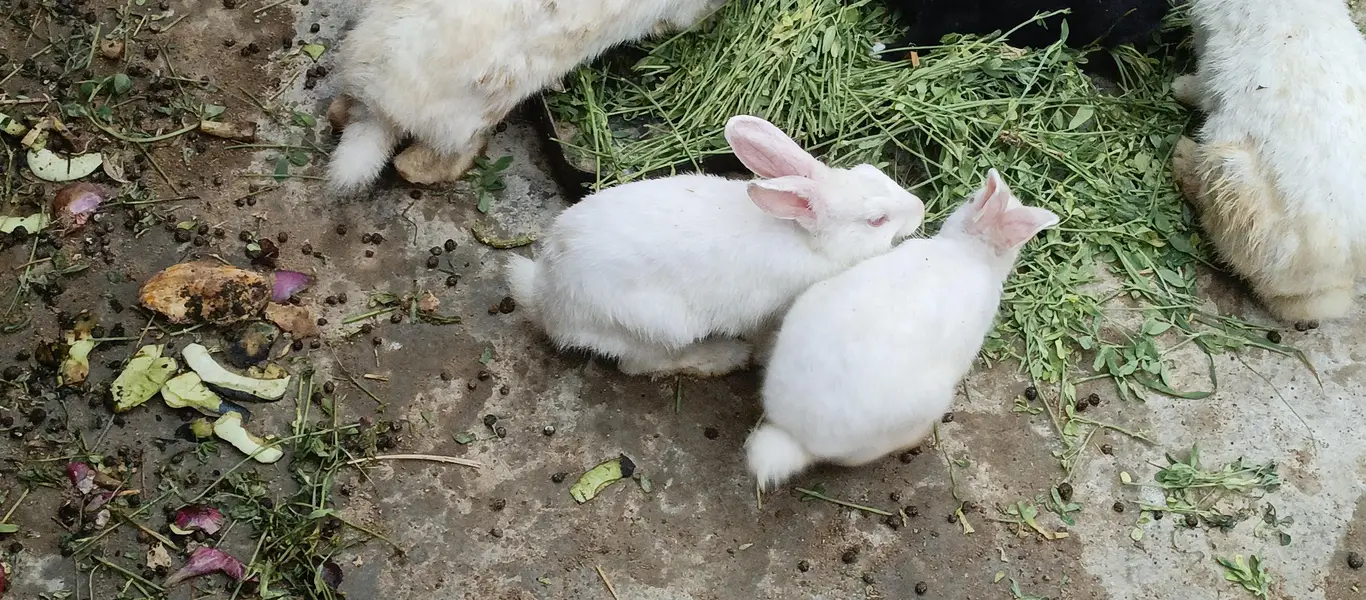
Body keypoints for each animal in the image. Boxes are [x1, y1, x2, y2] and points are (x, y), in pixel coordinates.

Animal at [505, 115, 926, 378]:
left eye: (873, 172)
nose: (921, 208)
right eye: (877, 220)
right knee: (641, 365)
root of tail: (546, 302)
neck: (807, 240)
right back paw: (724, 358)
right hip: (657, 325)